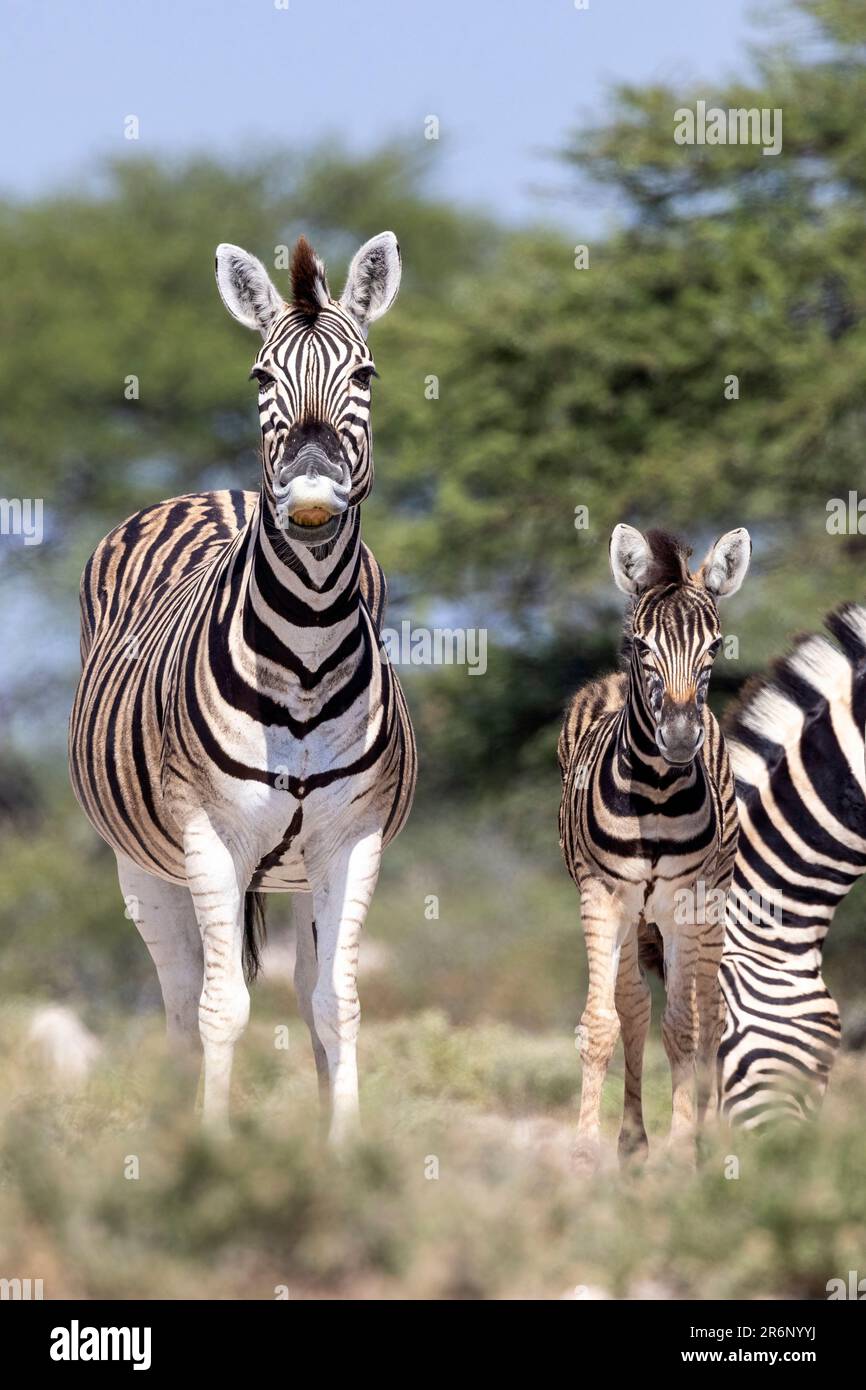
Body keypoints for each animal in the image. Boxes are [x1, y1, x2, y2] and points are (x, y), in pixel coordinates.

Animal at [68, 231, 416, 1141]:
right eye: (261, 377)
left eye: (365, 374)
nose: (311, 498)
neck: (303, 658)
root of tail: (213, 492)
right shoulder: (209, 837)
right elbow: (219, 1009)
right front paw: (213, 1146)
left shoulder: (352, 840)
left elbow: (337, 1005)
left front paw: (344, 1150)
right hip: (140, 864)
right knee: (180, 997)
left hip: (295, 871)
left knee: (300, 986)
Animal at [558, 523, 751, 1170]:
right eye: (642, 646)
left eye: (714, 648)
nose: (681, 738)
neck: (657, 795)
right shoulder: (602, 897)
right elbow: (603, 1023)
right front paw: (587, 1155)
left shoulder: (686, 901)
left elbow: (686, 1026)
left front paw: (685, 1149)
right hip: (626, 915)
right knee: (634, 1006)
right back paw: (632, 1140)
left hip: (706, 906)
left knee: (708, 1012)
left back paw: (706, 1136)